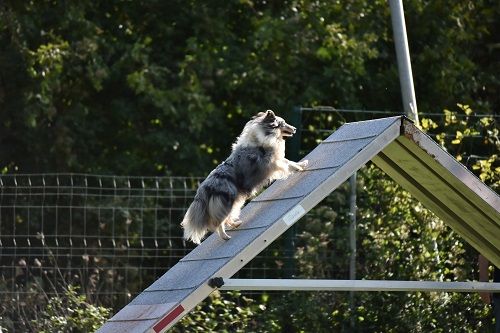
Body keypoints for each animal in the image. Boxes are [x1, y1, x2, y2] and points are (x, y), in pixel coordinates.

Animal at [182, 110, 306, 243]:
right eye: (282, 123)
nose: (295, 128)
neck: (263, 135)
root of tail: (203, 188)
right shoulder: (273, 162)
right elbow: (288, 163)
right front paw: (301, 166)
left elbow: (289, 161)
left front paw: (302, 164)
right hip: (226, 202)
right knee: (218, 223)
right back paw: (225, 236)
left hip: (234, 201)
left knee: (227, 218)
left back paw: (235, 224)